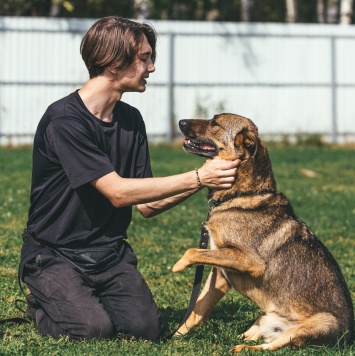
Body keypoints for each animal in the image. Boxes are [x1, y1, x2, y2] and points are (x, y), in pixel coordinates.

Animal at [172, 113, 354, 350]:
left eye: (214, 122)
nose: (180, 122)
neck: (241, 195)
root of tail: (348, 339)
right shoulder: (219, 274)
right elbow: (196, 312)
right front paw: (173, 338)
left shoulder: (250, 261)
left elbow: (192, 252)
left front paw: (178, 265)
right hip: (264, 319)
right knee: (255, 337)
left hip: (318, 323)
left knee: (270, 348)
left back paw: (241, 350)